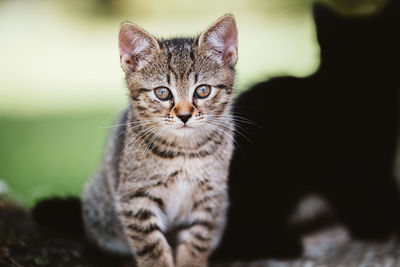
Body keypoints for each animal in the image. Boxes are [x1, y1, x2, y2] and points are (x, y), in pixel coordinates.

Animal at [81, 15, 238, 267]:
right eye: (162, 93)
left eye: (202, 90)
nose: (184, 115)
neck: (184, 152)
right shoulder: (135, 197)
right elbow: (151, 247)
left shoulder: (210, 196)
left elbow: (197, 240)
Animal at [214, 0, 400, 262]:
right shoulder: (335, 166)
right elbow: (351, 196)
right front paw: (371, 226)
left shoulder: (380, 160)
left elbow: (385, 187)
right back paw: (281, 243)